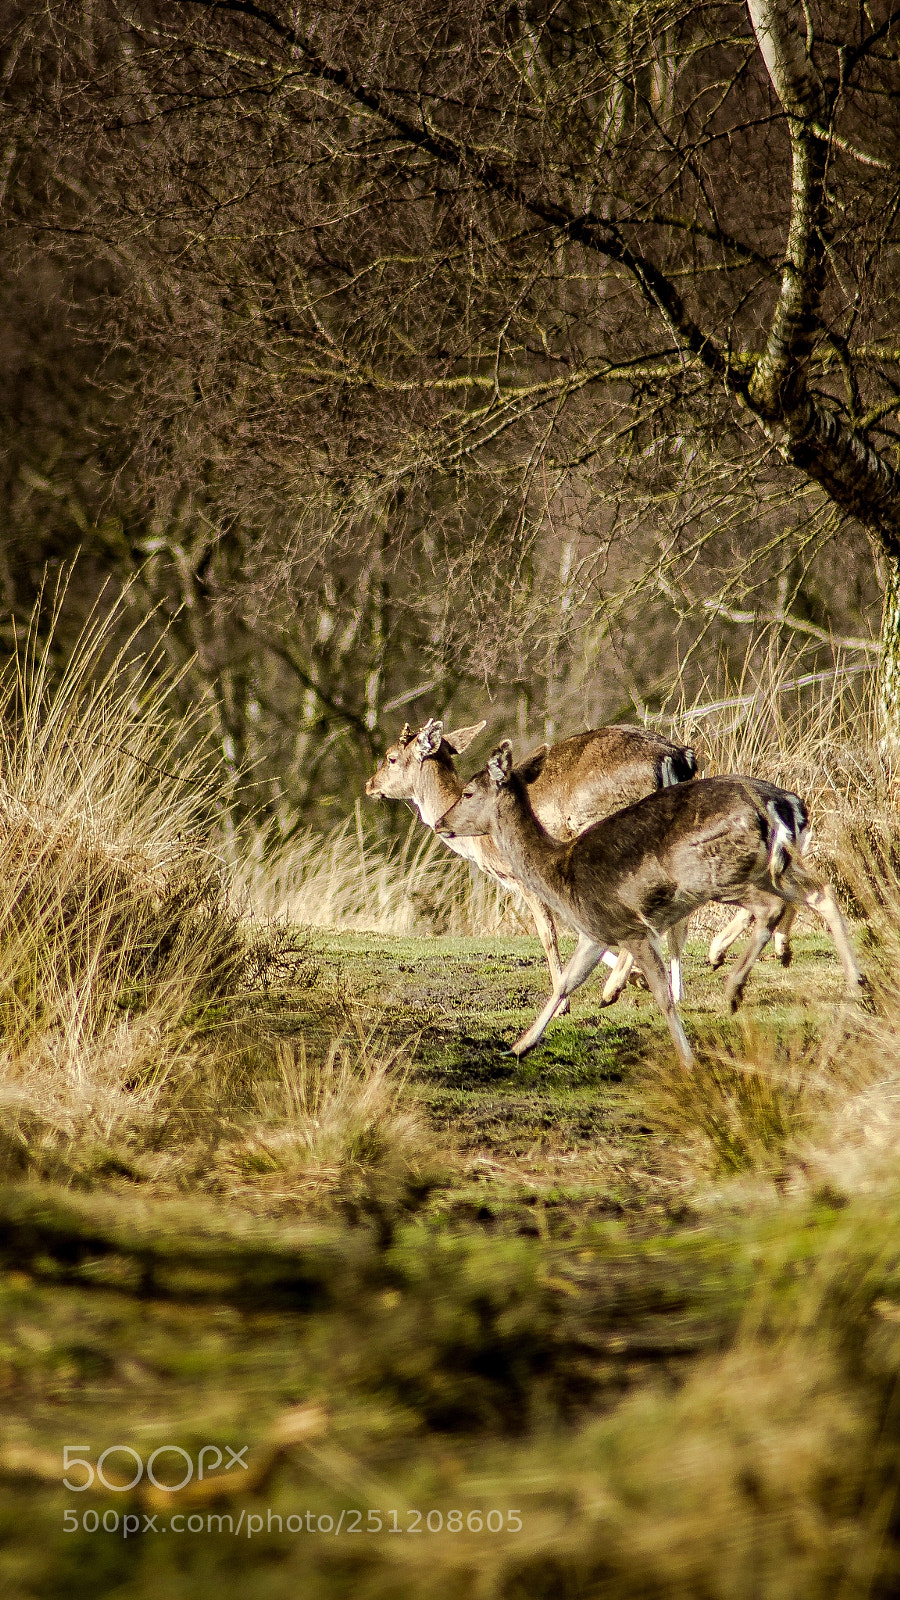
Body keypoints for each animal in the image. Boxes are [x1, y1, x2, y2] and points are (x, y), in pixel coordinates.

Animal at [366, 718, 698, 1004]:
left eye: (391, 757)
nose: (370, 784)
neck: (478, 842)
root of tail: (675, 756)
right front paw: (640, 978)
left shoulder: (524, 876)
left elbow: (549, 933)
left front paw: (564, 1002)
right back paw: (674, 991)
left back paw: (612, 989)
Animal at [435, 741, 864, 1068]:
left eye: (468, 793)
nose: (440, 823)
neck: (558, 871)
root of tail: (777, 803)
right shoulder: (596, 930)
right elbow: (566, 981)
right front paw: (518, 1046)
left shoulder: (631, 927)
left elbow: (663, 996)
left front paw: (687, 1060)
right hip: (772, 866)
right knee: (821, 892)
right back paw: (855, 981)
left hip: (714, 872)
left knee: (769, 908)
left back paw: (732, 990)